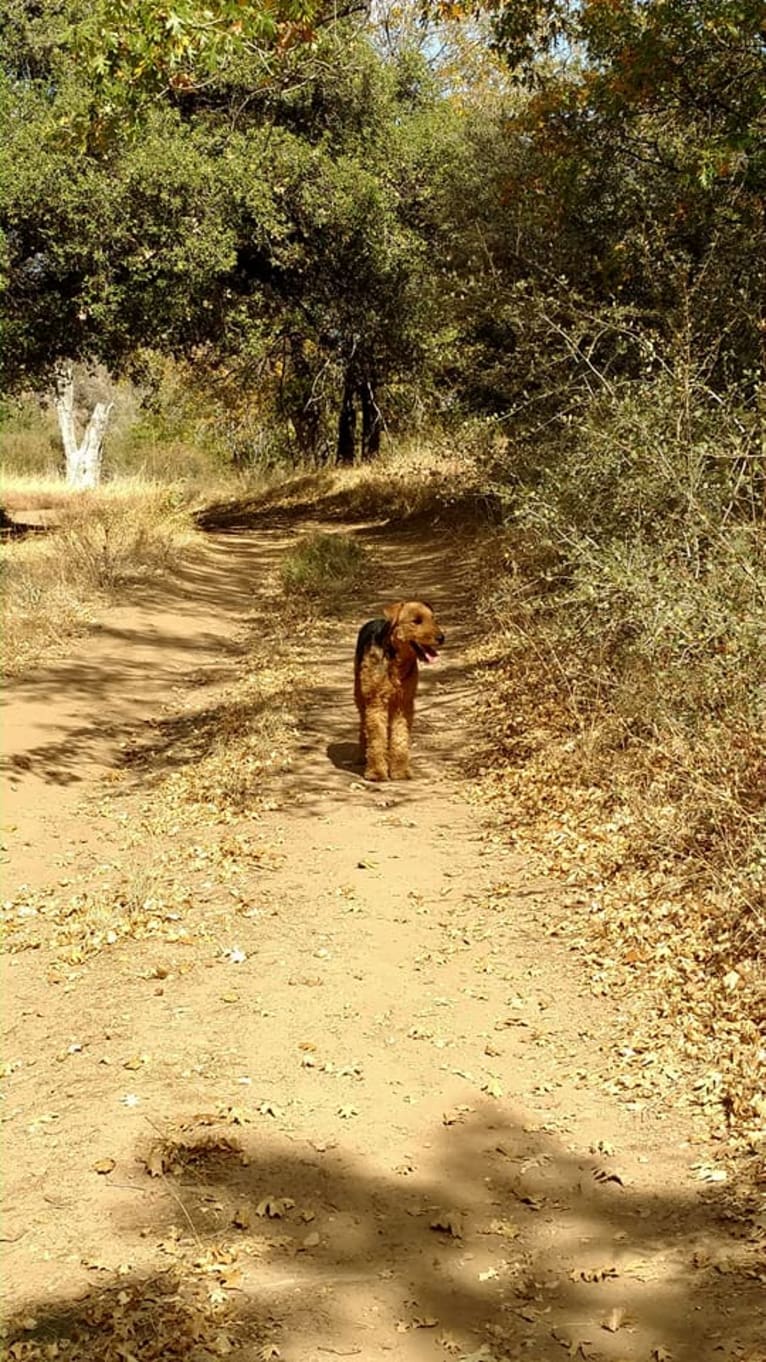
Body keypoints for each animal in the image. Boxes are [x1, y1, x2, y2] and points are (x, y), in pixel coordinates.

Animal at [351, 602, 441, 784]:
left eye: (433, 618)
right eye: (416, 621)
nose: (441, 638)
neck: (396, 662)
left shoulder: (403, 704)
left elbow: (400, 738)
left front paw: (400, 771)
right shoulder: (376, 702)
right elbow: (377, 738)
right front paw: (377, 772)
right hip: (361, 697)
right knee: (364, 727)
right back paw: (362, 756)